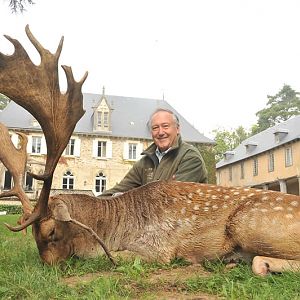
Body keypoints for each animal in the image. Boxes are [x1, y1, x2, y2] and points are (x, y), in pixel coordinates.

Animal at [0, 26, 300, 276]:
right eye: (33, 236)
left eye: (51, 231)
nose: (48, 268)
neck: (111, 229)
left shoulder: (156, 248)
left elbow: (112, 258)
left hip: (250, 222)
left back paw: (255, 263)